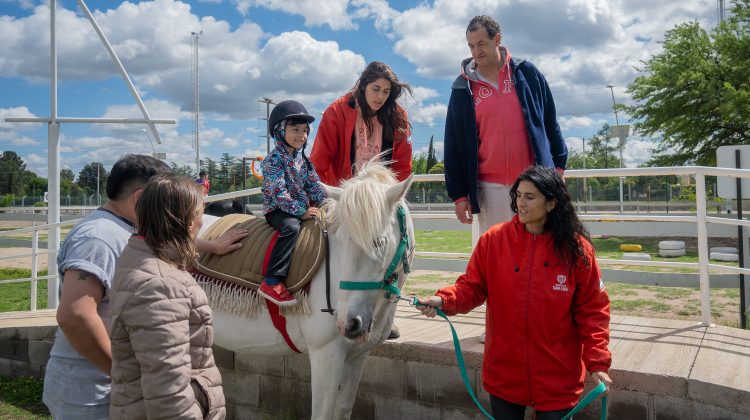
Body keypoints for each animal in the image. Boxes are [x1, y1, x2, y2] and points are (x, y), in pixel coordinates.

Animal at [200, 163, 418, 420]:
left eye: (379, 243)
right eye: (341, 241)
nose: (349, 323)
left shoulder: (357, 357)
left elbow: (343, 410)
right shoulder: (326, 355)